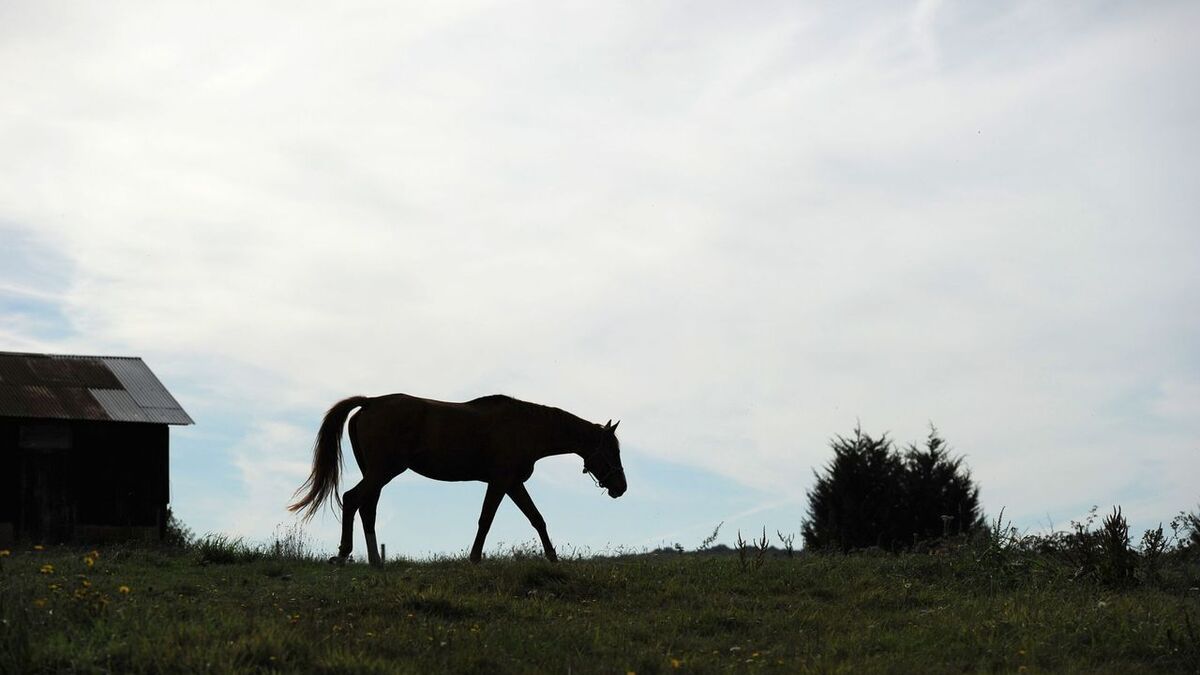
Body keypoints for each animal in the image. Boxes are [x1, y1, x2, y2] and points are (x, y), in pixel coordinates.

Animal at [289, 391, 628, 564]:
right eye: (612, 451)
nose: (621, 487)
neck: (526, 427)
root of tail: (371, 402)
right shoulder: (501, 481)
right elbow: (486, 520)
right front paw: (474, 558)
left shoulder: (513, 483)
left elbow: (537, 519)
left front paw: (553, 558)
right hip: (383, 471)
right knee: (352, 501)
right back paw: (343, 555)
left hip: (377, 473)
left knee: (366, 508)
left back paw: (375, 561)